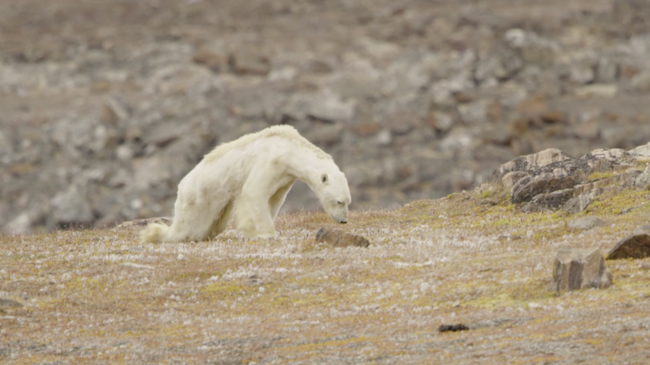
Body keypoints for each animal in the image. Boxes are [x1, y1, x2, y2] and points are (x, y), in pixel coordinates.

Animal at [137, 124, 350, 242]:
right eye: (339, 201)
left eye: (348, 202)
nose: (344, 221)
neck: (289, 148)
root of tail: (181, 186)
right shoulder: (270, 161)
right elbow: (254, 191)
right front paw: (265, 233)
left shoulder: (285, 176)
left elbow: (273, 199)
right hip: (199, 198)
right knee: (188, 228)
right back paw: (155, 234)